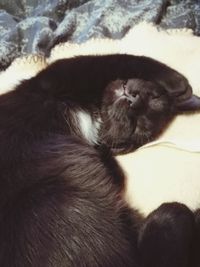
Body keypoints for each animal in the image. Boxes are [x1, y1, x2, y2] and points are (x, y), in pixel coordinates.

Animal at [0, 53, 199, 266]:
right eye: (153, 97)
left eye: (137, 126)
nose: (134, 100)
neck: (95, 112)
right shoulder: (59, 76)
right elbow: (112, 59)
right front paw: (178, 83)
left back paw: (173, 217)